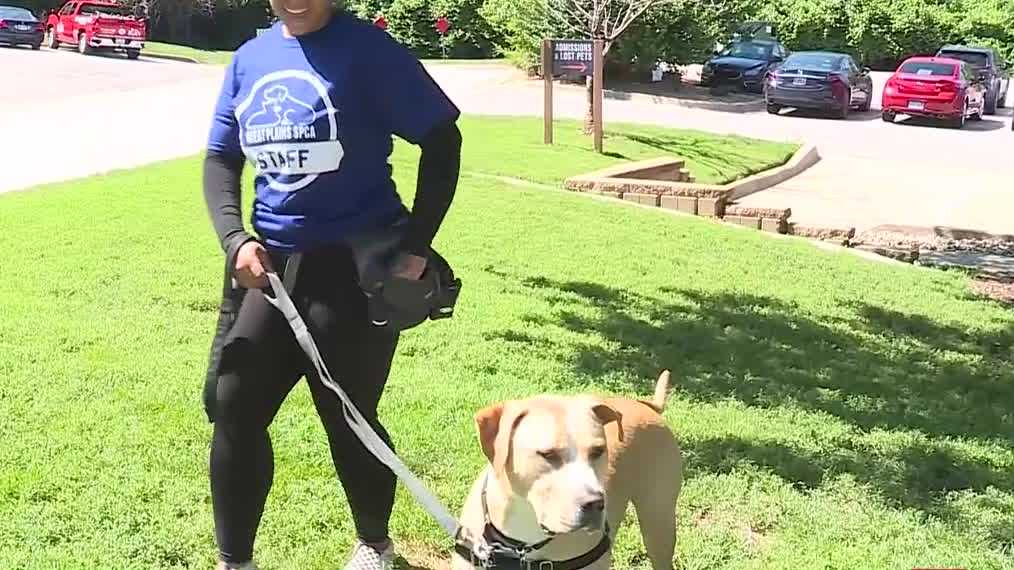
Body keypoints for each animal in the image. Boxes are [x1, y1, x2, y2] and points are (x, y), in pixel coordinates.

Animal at [456, 369, 685, 567]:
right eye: (548, 455)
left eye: (598, 451)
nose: (595, 503)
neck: (522, 544)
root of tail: (647, 406)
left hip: (658, 523)